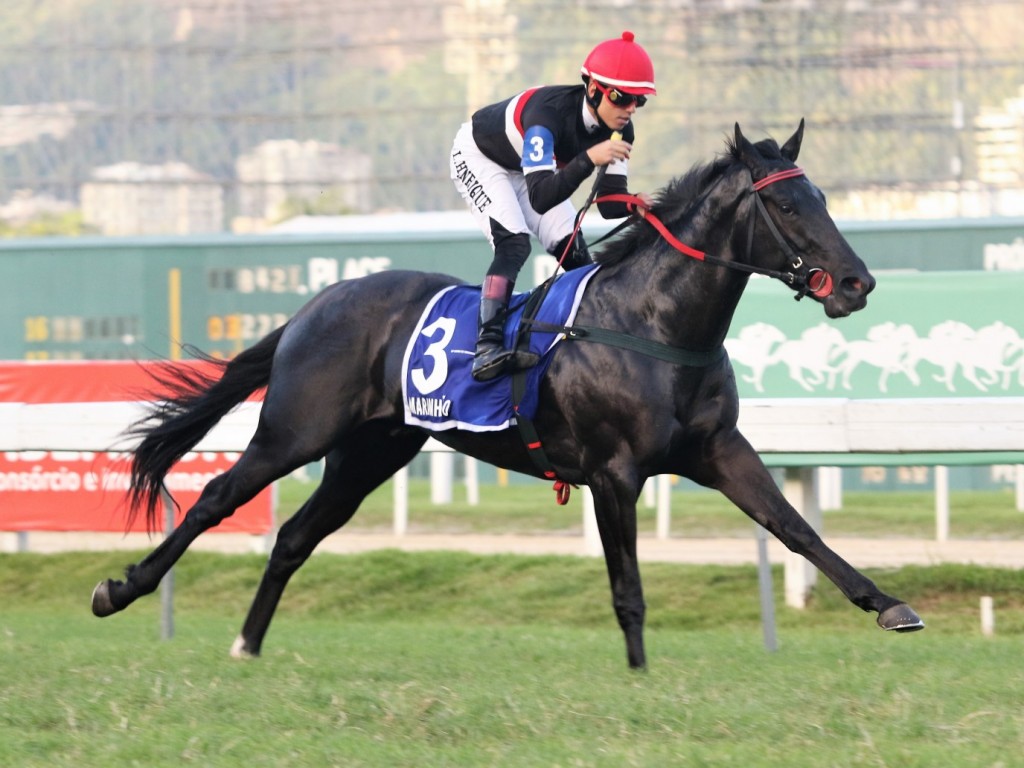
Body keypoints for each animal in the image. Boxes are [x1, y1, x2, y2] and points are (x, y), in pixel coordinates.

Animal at [92, 123, 925, 671]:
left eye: (821, 197)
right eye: (786, 208)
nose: (857, 283)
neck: (653, 323)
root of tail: (315, 304)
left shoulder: (719, 452)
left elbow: (797, 529)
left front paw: (889, 604)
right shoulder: (613, 472)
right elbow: (628, 585)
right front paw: (639, 673)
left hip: (370, 452)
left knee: (296, 536)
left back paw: (248, 644)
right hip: (294, 432)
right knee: (214, 500)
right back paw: (121, 590)